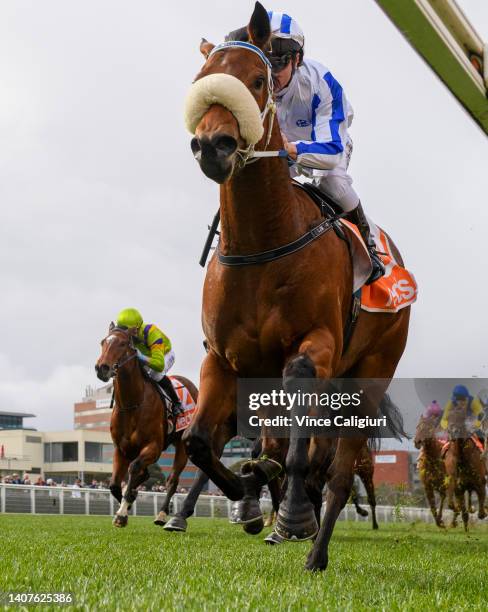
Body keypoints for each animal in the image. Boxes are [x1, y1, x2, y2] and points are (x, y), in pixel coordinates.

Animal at [95, 322, 198, 528]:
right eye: (103, 342)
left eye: (123, 343)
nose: (102, 368)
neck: (132, 404)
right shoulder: (121, 449)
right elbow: (114, 484)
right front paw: (126, 505)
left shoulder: (153, 447)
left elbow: (134, 468)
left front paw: (122, 513)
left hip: (182, 446)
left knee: (172, 480)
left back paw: (162, 514)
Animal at [183, 2, 412, 572]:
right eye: (202, 81)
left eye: (258, 79)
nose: (213, 145)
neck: (264, 241)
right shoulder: (222, 359)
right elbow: (199, 443)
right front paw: (246, 498)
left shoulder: (317, 348)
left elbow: (299, 448)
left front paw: (289, 515)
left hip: (371, 376)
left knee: (339, 471)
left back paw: (315, 549)